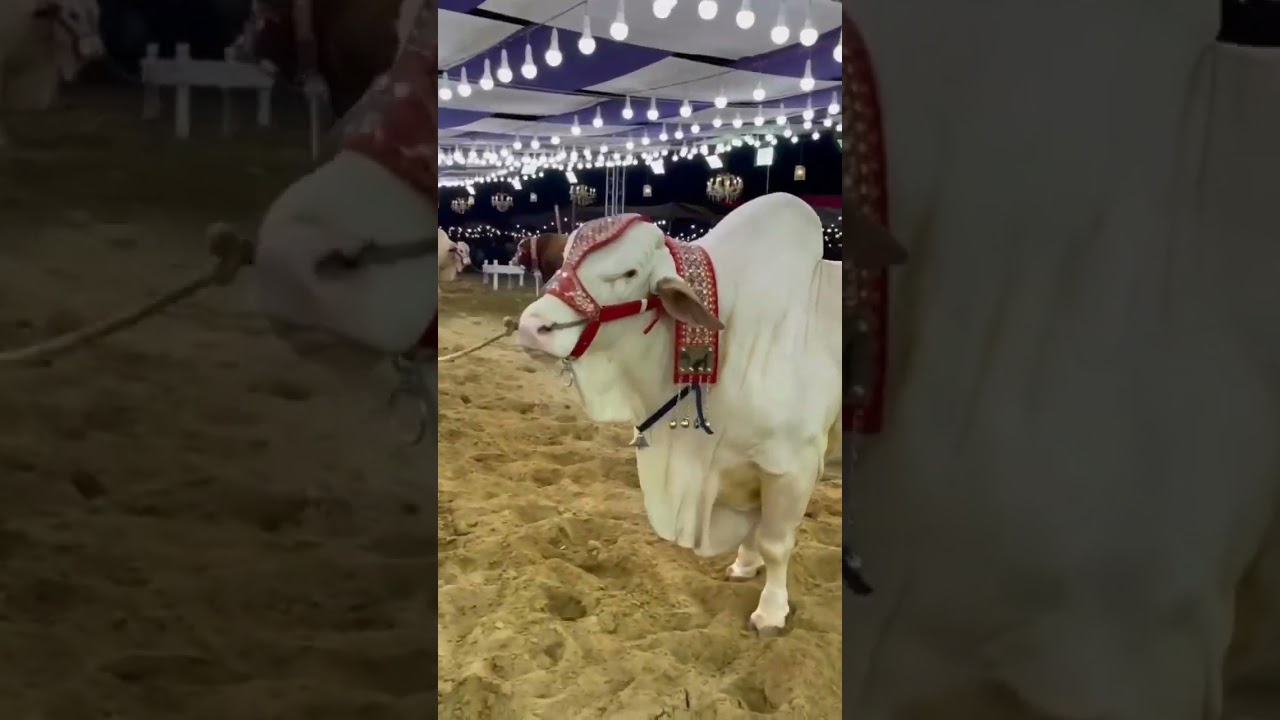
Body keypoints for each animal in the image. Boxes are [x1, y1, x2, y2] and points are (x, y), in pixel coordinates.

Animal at [514, 194, 841, 635]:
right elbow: (753, 530)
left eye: (630, 272)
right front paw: (744, 566)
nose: (533, 327)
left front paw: (771, 612)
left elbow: (775, 544)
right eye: (564, 260)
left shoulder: (791, 467)